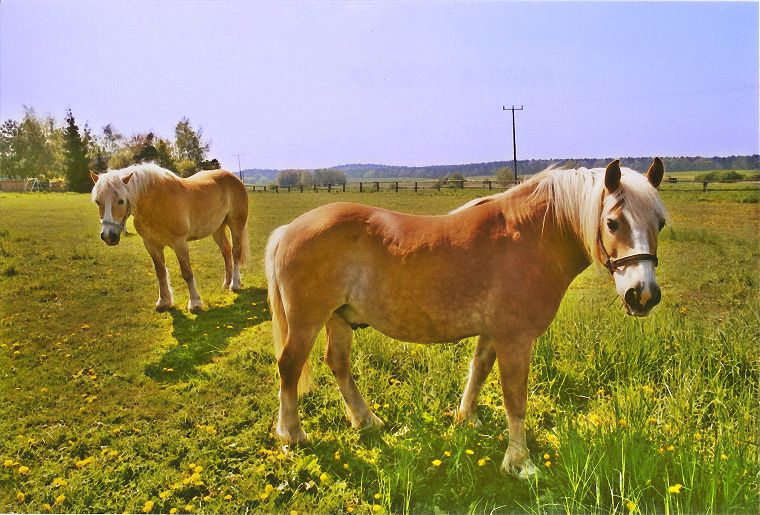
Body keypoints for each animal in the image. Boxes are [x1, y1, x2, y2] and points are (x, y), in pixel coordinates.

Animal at [90, 163, 249, 312]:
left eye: (121, 201)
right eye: (98, 201)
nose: (108, 236)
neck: (156, 202)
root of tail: (234, 178)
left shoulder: (180, 243)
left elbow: (187, 273)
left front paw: (195, 303)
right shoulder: (151, 245)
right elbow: (160, 272)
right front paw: (163, 302)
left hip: (236, 224)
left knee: (235, 251)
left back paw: (235, 285)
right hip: (217, 228)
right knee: (226, 251)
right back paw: (226, 283)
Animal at [265, 158, 665, 478]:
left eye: (659, 222)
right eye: (612, 223)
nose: (642, 294)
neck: (531, 237)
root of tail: (287, 230)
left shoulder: (494, 334)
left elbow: (478, 370)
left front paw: (465, 417)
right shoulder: (515, 339)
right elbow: (515, 398)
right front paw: (519, 462)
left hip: (339, 318)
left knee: (338, 364)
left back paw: (367, 421)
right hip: (307, 321)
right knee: (289, 366)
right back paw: (293, 434)